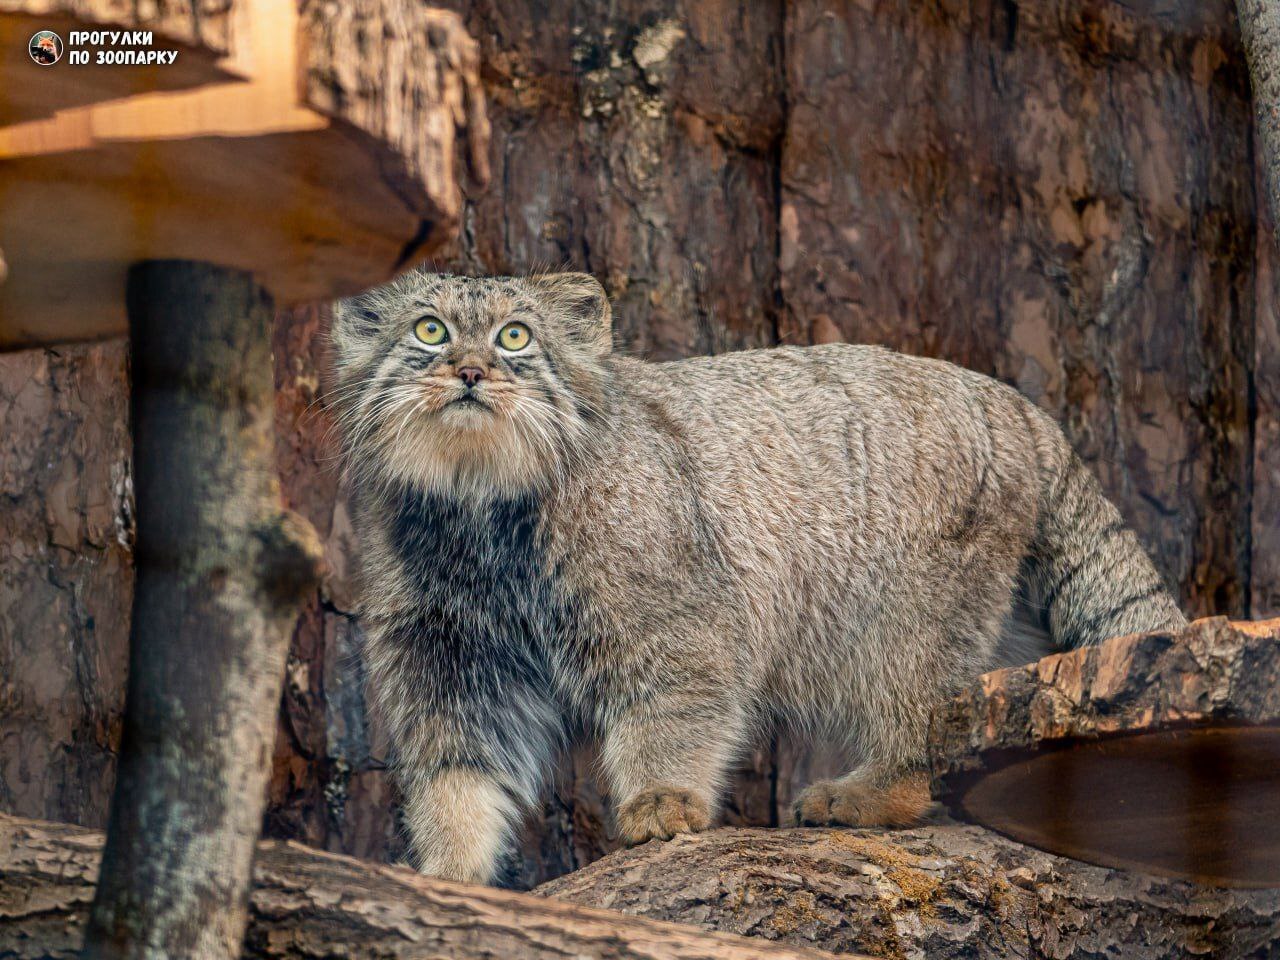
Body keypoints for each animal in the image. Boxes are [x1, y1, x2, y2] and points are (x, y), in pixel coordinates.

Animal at [327, 271, 1177, 885]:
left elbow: (673, 710)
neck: (479, 507)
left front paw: (663, 802)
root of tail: (1023, 410)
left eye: (515, 336)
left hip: (908, 615)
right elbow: (457, 770)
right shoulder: (451, 656)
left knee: (919, 719)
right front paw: (447, 869)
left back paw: (869, 791)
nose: (471, 370)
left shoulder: (675, 617)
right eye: (429, 329)